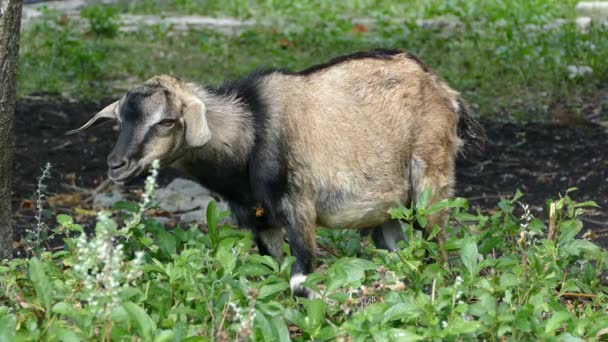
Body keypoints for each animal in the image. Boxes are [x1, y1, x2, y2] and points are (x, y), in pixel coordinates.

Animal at [67, 48, 484, 296]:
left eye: (167, 121)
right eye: (120, 120)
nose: (116, 165)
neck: (251, 129)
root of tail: (447, 93)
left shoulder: (300, 207)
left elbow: (301, 279)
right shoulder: (260, 220)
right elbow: (274, 273)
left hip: (430, 184)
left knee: (437, 252)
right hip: (388, 211)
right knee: (399, 254)